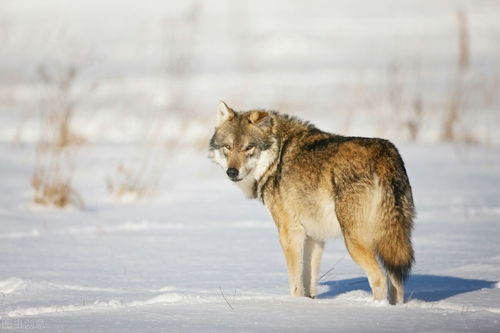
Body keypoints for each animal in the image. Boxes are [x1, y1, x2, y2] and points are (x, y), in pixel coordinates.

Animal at [207, 101, 414, 304]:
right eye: (227, 147)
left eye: (249, 147)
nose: (232, 172)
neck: (277, 157)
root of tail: (384, 154)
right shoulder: (314, 237)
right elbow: (309, 280)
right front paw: (309, 304)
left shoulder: (290, 233)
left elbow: (295, 281)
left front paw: (295, 304)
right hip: (392, 241)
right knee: (397, 281)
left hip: (355, 242)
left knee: (379, 278)